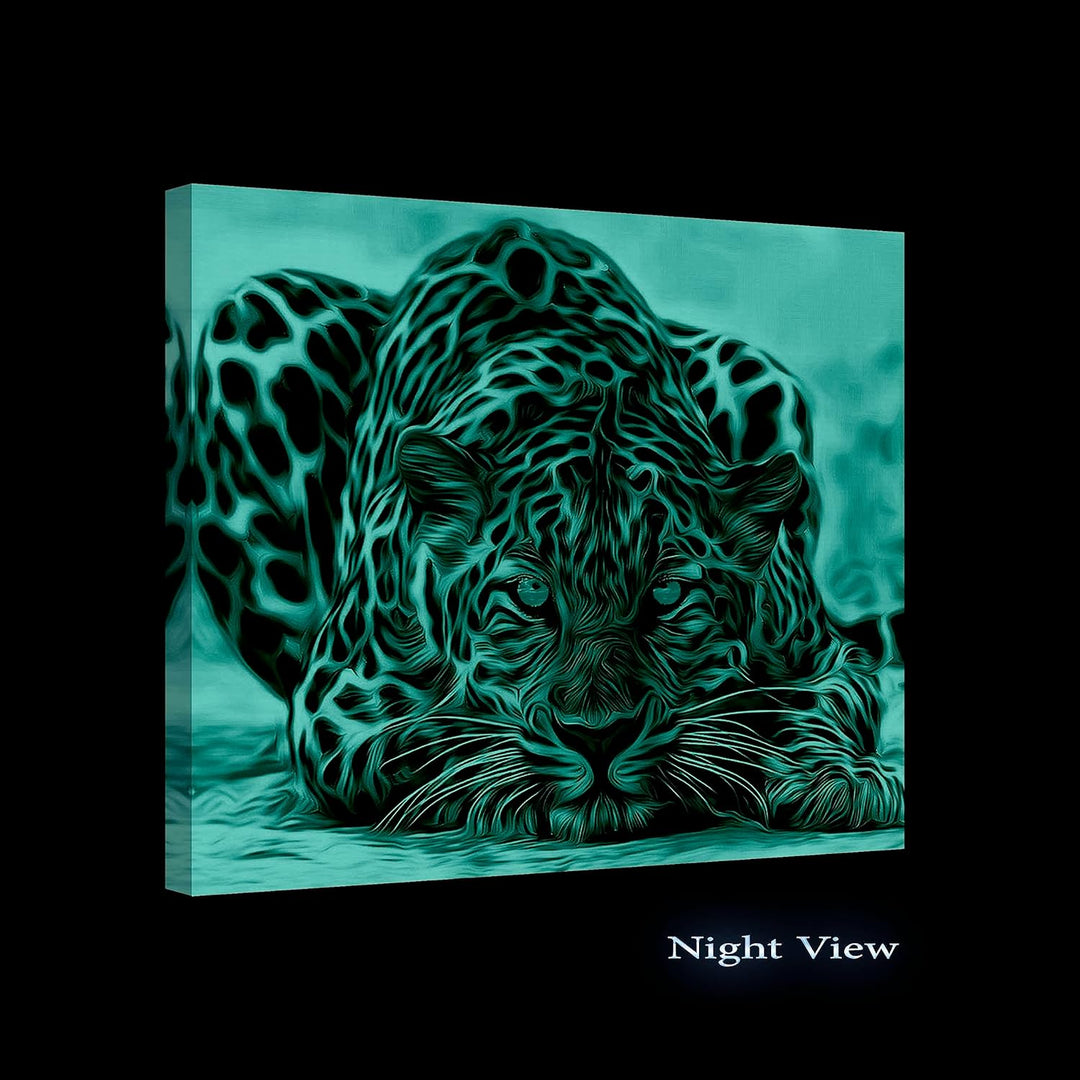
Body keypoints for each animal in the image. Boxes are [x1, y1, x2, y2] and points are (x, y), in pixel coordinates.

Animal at [165, 218, 903, 842]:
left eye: (667, 597)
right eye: (529, 596)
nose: (599, 738)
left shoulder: (829, 656)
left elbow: (805, 702)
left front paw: (838, 777)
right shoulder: (335, 705)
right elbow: (430, 741)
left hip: (757, 368)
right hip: (251, 316)